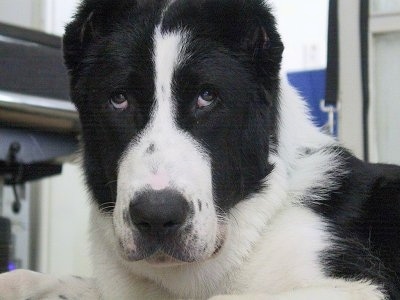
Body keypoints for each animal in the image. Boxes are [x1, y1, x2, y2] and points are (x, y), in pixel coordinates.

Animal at [0, 0, 400, 300]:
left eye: (207, 96)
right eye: (119, 99)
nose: (157, 215)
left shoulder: (359, 288)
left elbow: (225, 298)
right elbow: (39, 278)